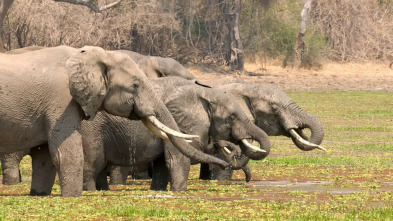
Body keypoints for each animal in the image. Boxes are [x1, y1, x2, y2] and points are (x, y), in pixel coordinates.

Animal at [0, 45, 227, 196]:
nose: (226, 164)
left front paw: (40, 195)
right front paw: (74, 197)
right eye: (135, 85)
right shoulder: (61, 100)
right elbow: (66, 154)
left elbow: (44, 158)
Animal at [80, 76, 270, 192]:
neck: (203, 92)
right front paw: (180, 192)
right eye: (232, 117)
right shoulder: (178, 124)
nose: (228, 163)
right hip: (92, 129)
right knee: (92, 168)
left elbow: (162, 166)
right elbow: (178, 161)